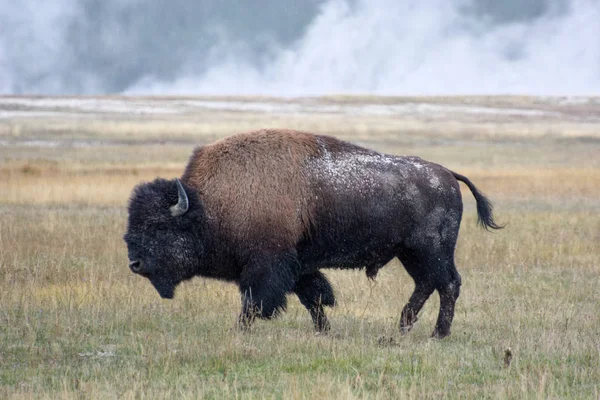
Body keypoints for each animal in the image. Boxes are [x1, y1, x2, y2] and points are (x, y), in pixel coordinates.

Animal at [125, 129, 502, 338]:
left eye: (159, 226)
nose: (135, 263)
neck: (208, 205)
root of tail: (448, 174)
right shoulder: (299, 266)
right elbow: (314, 299)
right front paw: (325, 332)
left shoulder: (267, 266)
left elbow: (255, 303)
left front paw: (240, 330)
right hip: (410, 253)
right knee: (426, 284)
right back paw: (402, 327)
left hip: (432, 250)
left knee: (447, 284)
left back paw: (438, 334)